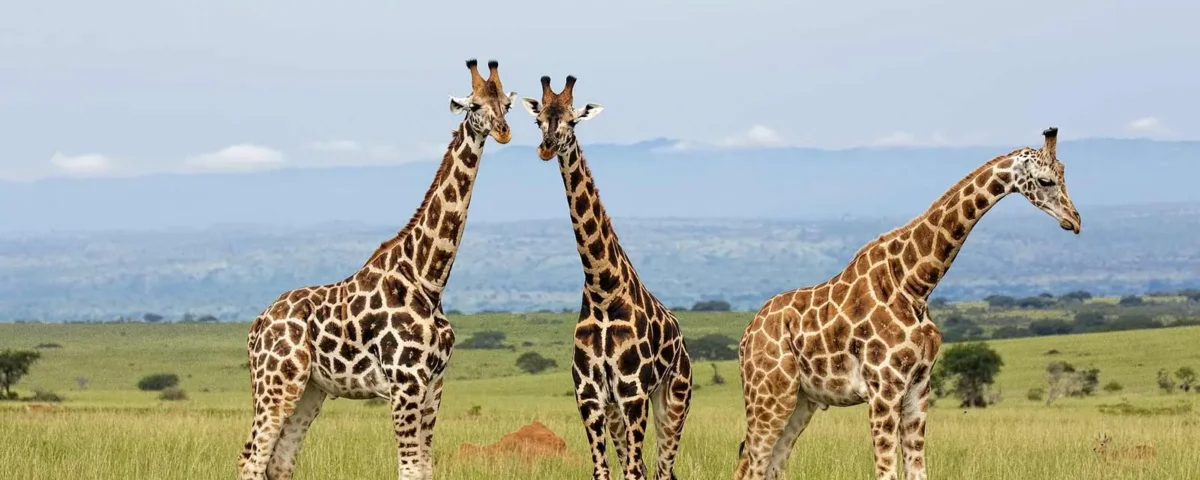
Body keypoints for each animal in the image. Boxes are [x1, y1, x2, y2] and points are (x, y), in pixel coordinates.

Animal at [236, 58, 516, 480]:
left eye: (507, 105)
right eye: (474, 105)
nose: (503, 131)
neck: (428, 278)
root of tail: (256, 326)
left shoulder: (434, 385)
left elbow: (426, 469)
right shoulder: (405, 384)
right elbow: (409, 470)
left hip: (311, 389)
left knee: (279, 461)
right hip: (277, 382)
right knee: (250, 459)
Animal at [520, 75, 693, 480]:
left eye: (572, 121)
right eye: (539, 120)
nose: (546, 148)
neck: (603, 289)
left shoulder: (633, 393)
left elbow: (631, 472)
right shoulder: (590, 396)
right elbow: (603, 471)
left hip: (673, 400)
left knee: (661, 469)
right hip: (620, 412)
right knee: (648, 466)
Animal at [734, 128, 1082, 480]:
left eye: (1064, 173)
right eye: (1045, 181)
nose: (1075, 220)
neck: (915, 284)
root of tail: (747, 335)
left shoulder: (919, 388)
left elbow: (918, 470)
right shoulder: (884, 390)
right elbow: (886, 472)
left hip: (801, 400)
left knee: (772, 464)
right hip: (770, 394)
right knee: (750, 463)